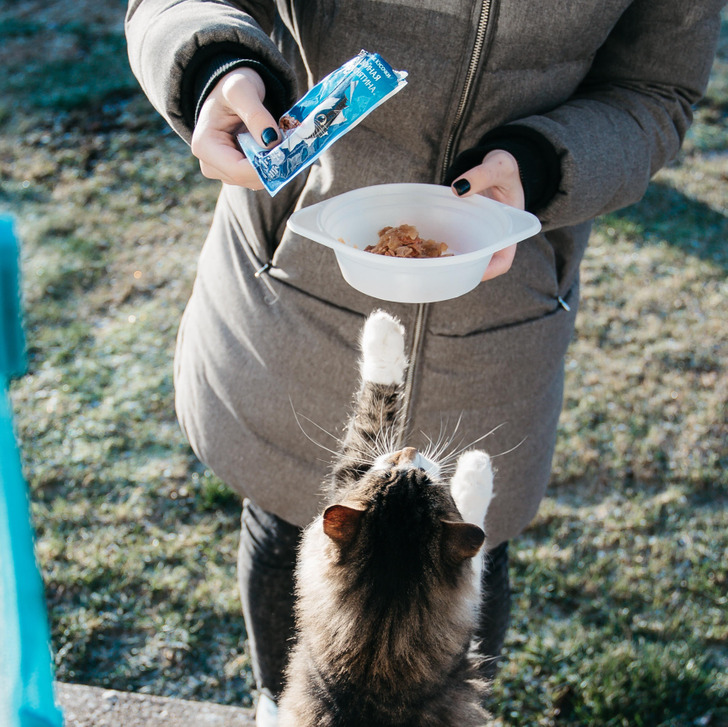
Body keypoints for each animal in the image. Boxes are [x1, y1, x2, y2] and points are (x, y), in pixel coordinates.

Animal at [278, 312, 494, 727]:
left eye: (416, 473)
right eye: (399, 470)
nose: (408, 450)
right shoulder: (351, 472)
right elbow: (376, 410)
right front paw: (384, 330)